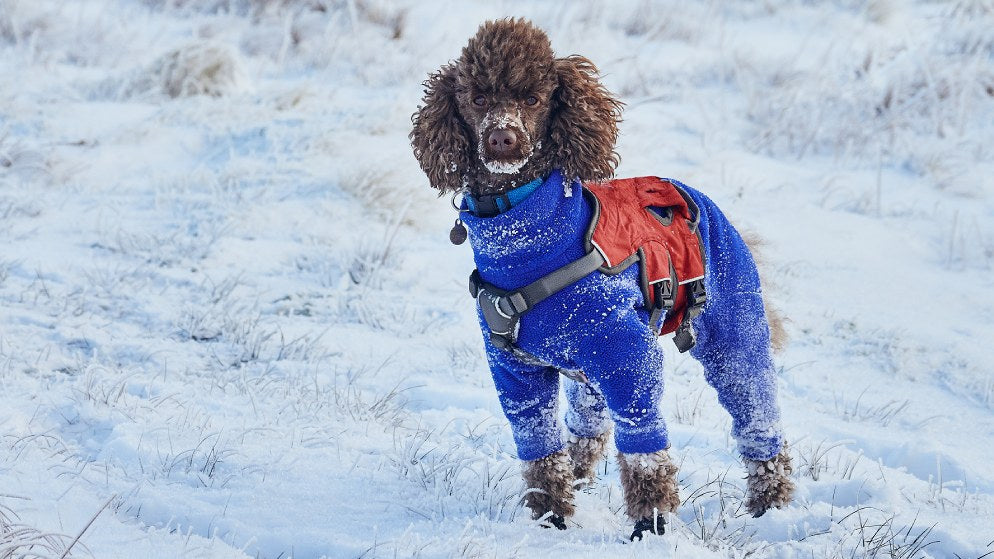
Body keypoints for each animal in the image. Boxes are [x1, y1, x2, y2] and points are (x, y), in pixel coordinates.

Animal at [408, 20, 792, 540]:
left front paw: (652, 525)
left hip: (732, 334)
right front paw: (550, 516)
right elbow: (539, 448)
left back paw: (771, 503)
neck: (522, 230)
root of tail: (704, 200)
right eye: (478, 98)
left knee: (756, 410)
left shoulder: (628, 359)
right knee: (587, 425)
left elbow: (645, 450)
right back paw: (579, 477)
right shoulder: (515, 372)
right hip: (584, 370)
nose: (502, 139)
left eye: (534, 99)